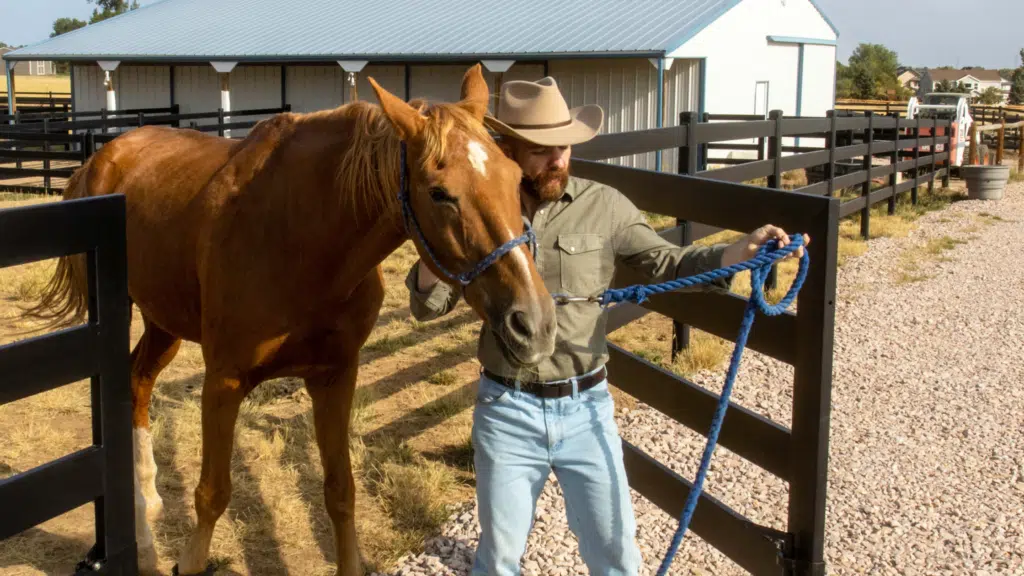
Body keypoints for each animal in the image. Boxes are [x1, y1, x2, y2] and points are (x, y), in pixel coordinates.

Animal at [25, 63, 557, 575]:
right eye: (440, 192)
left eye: (515, 177)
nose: (534, 323)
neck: (300, 239)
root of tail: (101, 159)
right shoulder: (223, 381)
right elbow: (212, 494)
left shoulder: (335, 377)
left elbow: (341, 491)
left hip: (164, 322)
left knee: (138, 382)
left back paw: (148, 516)